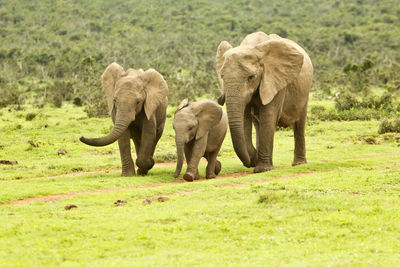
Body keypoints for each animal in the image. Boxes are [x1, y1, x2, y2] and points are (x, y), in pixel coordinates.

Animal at [216, 31, 312, 174]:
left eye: (251, 77)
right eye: (222, 77)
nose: (250, 162)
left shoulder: (276, 81)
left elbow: (269, 115)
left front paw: (262, 169)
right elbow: (245, 119)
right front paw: (257, 161)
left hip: (304, 92)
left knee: (299, 124)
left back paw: (298, 164)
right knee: (258, 124)